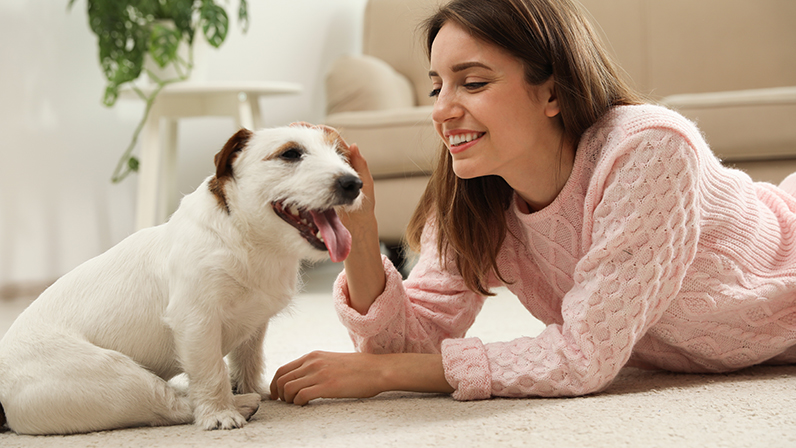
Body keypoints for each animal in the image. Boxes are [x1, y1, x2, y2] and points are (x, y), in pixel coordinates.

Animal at [0, 123, 364, 434]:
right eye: (290, 153)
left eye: (341, 155)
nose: (353, 183)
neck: (245, 236)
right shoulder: (196, 322)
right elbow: (211, 372)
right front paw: (220, 413)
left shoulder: (254, 325)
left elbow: (249, 359)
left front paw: (251, 387)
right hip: (120, 378)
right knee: (170, 404)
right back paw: (241, 405)